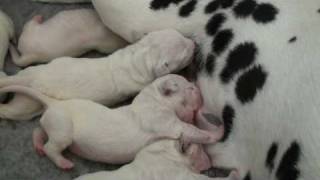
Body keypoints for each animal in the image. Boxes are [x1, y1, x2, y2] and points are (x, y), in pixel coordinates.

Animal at [0, 29, 195, 121]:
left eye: (181, 35)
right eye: (185, 53)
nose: (194, 43)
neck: (139, 58)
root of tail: (25, 78)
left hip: (34, 70)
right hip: (27, 103)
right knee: (13, 111)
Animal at [0, 75, 224, 170]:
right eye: (190, 89)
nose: (197, 87)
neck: (153, 99)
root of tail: (53, 103)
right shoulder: (167, 122)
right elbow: (193, 130)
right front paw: (219, 130)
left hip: (52, 122)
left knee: (38, 130)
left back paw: (37, 145)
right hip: (63, 129)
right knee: (52, 147)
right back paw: (64, 163)